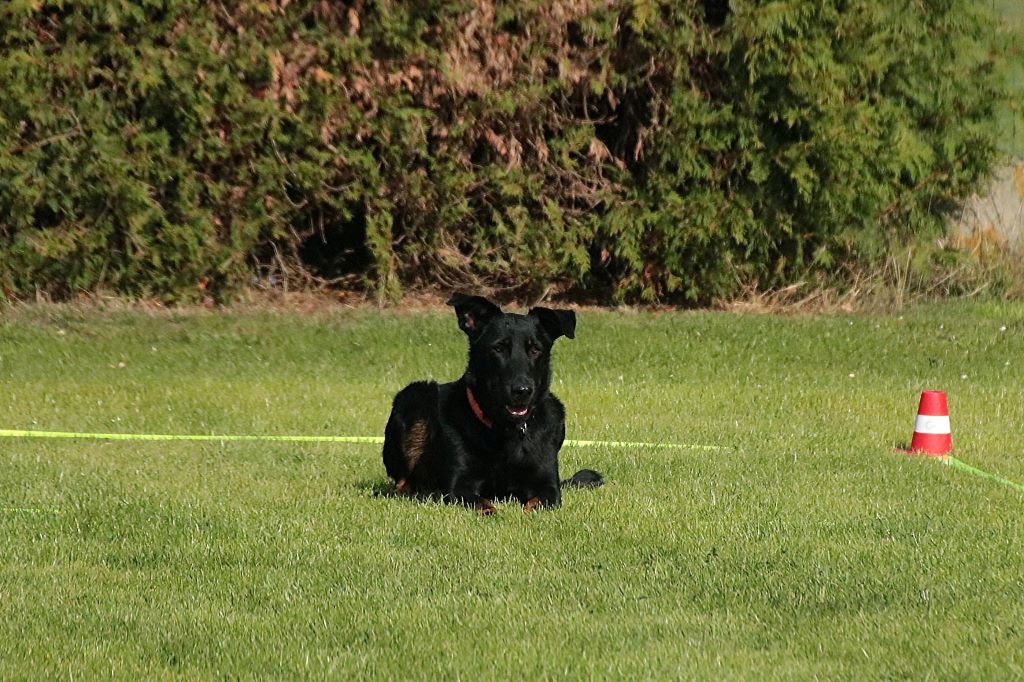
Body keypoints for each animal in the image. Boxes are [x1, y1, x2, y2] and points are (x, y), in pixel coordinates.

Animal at [385, 294, 606, 512]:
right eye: (498, 348)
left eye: (535, 350)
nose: (522, 391)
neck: (507, 430)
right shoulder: (459, 486)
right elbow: (484, 506)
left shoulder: (548, 487)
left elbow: (537, 504)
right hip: (416, 395)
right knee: (401, 484)